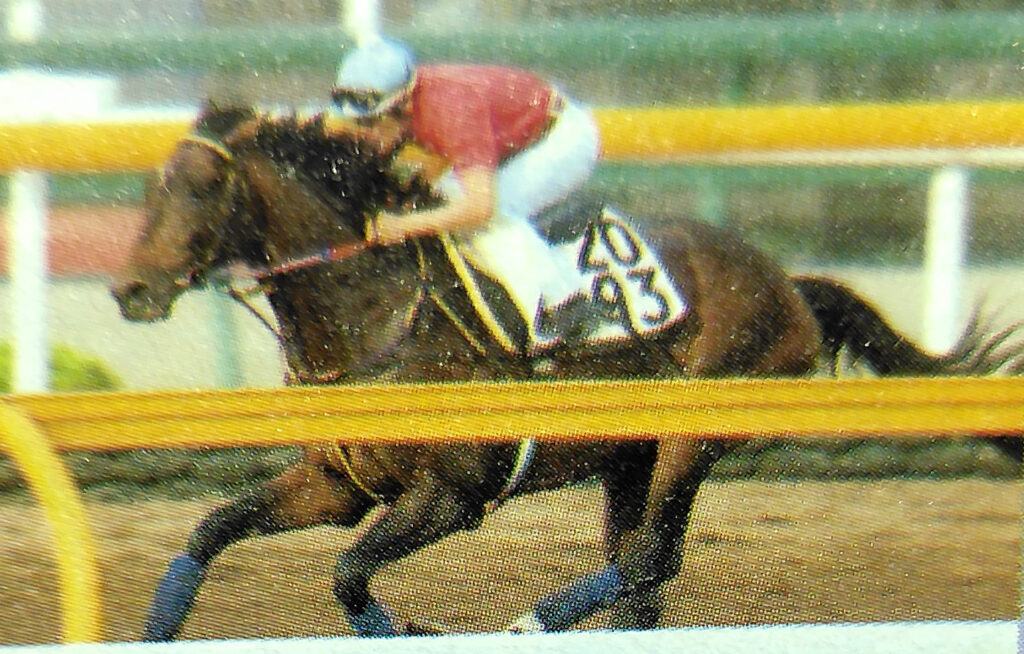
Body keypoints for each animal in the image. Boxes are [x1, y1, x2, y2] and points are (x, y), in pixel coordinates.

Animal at [110, 104, 1021, 640]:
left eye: (200, 186)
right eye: (151, 186)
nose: (130, 289)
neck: (378, 315)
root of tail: (787, 284)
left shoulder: (453, 496)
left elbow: (348, 575)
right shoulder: (337, 487)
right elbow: (210, 531)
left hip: (695, 433)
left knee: (651, 556)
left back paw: (530, 625)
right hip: (629, 454)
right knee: (646, 570)